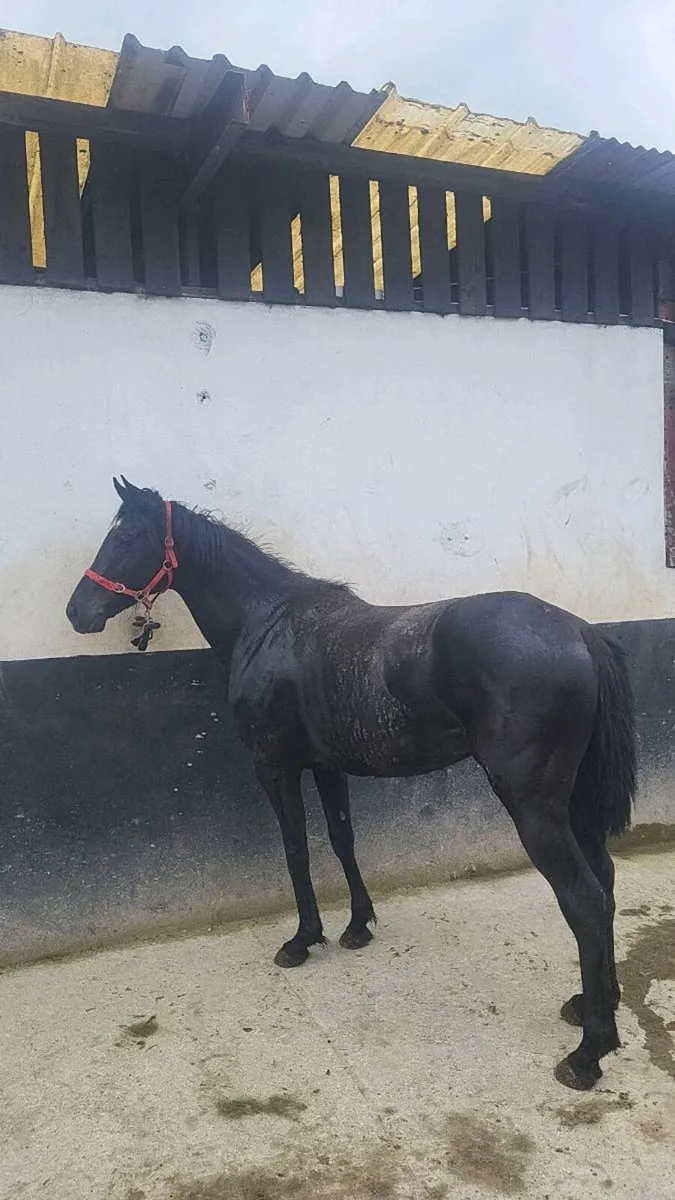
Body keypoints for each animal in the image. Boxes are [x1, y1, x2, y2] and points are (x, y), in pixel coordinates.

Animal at [66, 478, 636, 1092]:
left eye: (127, 536)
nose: (77, 611)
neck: (268, 624)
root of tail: (579, 632)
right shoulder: (326, 766)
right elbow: (342, 840)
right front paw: (358, 926)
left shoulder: (275, 766)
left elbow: (296, 848)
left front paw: (302, 939)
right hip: (574, 804)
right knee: (605, 883)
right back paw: (595, 1003)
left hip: (534, 806)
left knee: (584, 900)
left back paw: (590, 1052)